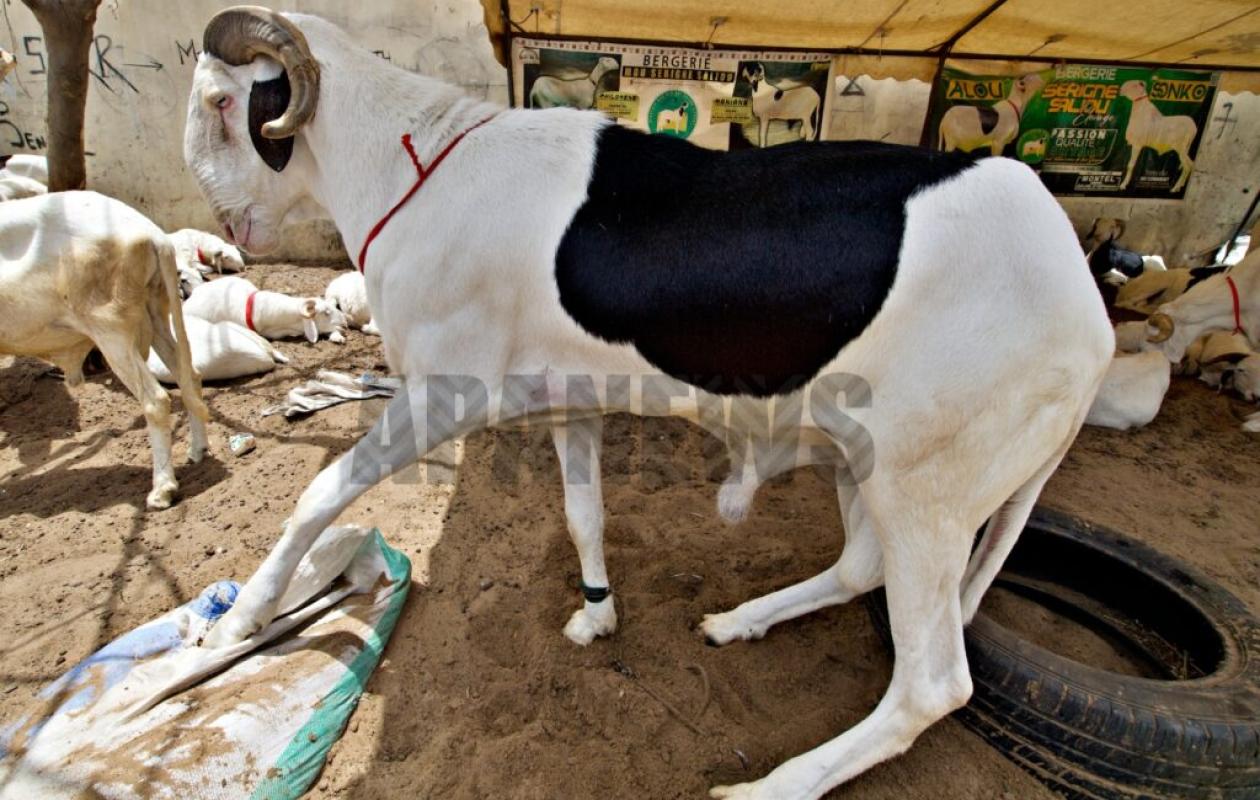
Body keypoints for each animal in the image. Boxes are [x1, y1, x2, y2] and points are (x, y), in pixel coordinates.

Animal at [0, 191, 209, 509]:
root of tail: (152, 234)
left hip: (111, 332)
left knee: (156, 400)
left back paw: (163, 489)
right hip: (154, 315)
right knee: (189, 377)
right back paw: (198, 450)